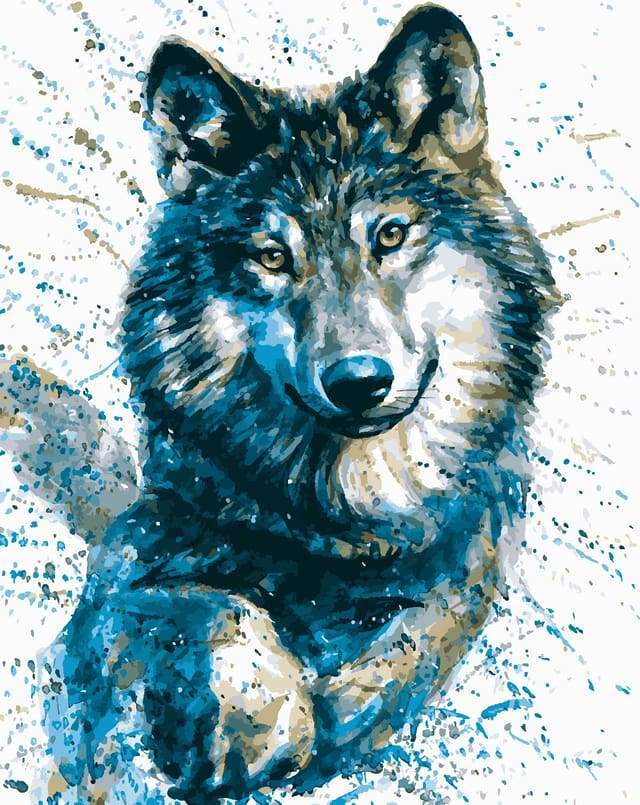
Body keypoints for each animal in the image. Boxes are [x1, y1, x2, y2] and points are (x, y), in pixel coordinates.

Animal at [42, 4, 558, 803]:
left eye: (390, 234)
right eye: (273, 257)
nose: (358, 381)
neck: (342, 522)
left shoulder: (466, 562)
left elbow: (413, 639)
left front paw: (340, 709)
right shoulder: (130, 559)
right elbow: (218, 602)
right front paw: (267, 720)